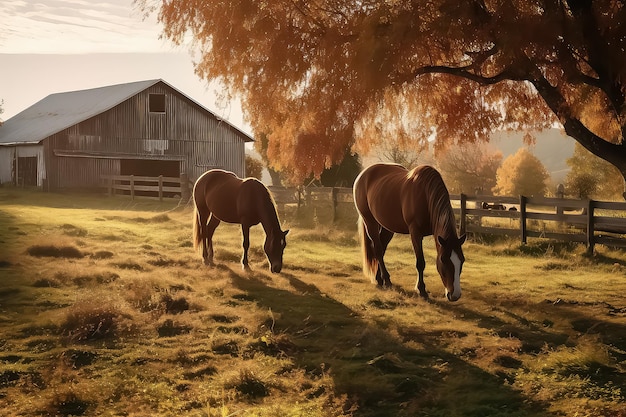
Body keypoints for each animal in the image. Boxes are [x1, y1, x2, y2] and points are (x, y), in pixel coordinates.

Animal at [352, 162, 464, 300]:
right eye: (443, 259)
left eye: (462, 260)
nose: (455, 295)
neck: (425, 194)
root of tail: (363, 175)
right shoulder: (415, 234)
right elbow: (420, 262)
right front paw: (421, 290)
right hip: (370, 222)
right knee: (377, 250)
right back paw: (386, 281)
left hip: (387, 228)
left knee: (381, 249)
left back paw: (379, 278)